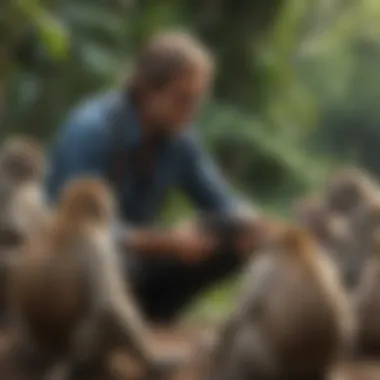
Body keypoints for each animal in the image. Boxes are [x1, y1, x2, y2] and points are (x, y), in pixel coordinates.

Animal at [7, 178, 183, 380]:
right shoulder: (97, 244)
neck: (70, 218)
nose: (112, 216)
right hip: (89, 351)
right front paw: (153, 361)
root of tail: (54, 353)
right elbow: (110, 305)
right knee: (106, 316)